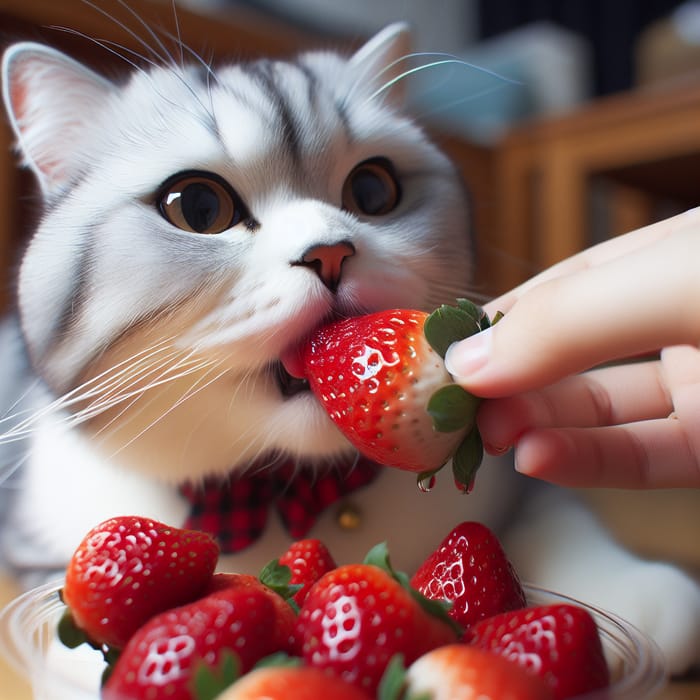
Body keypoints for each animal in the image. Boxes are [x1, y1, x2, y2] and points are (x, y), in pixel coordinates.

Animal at [0, 21, 696, 680]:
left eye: (373, 191)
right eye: (197, 205)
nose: (329, 253)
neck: (294, 502)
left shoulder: (516, 486)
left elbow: (555, 516)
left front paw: (640, 596)